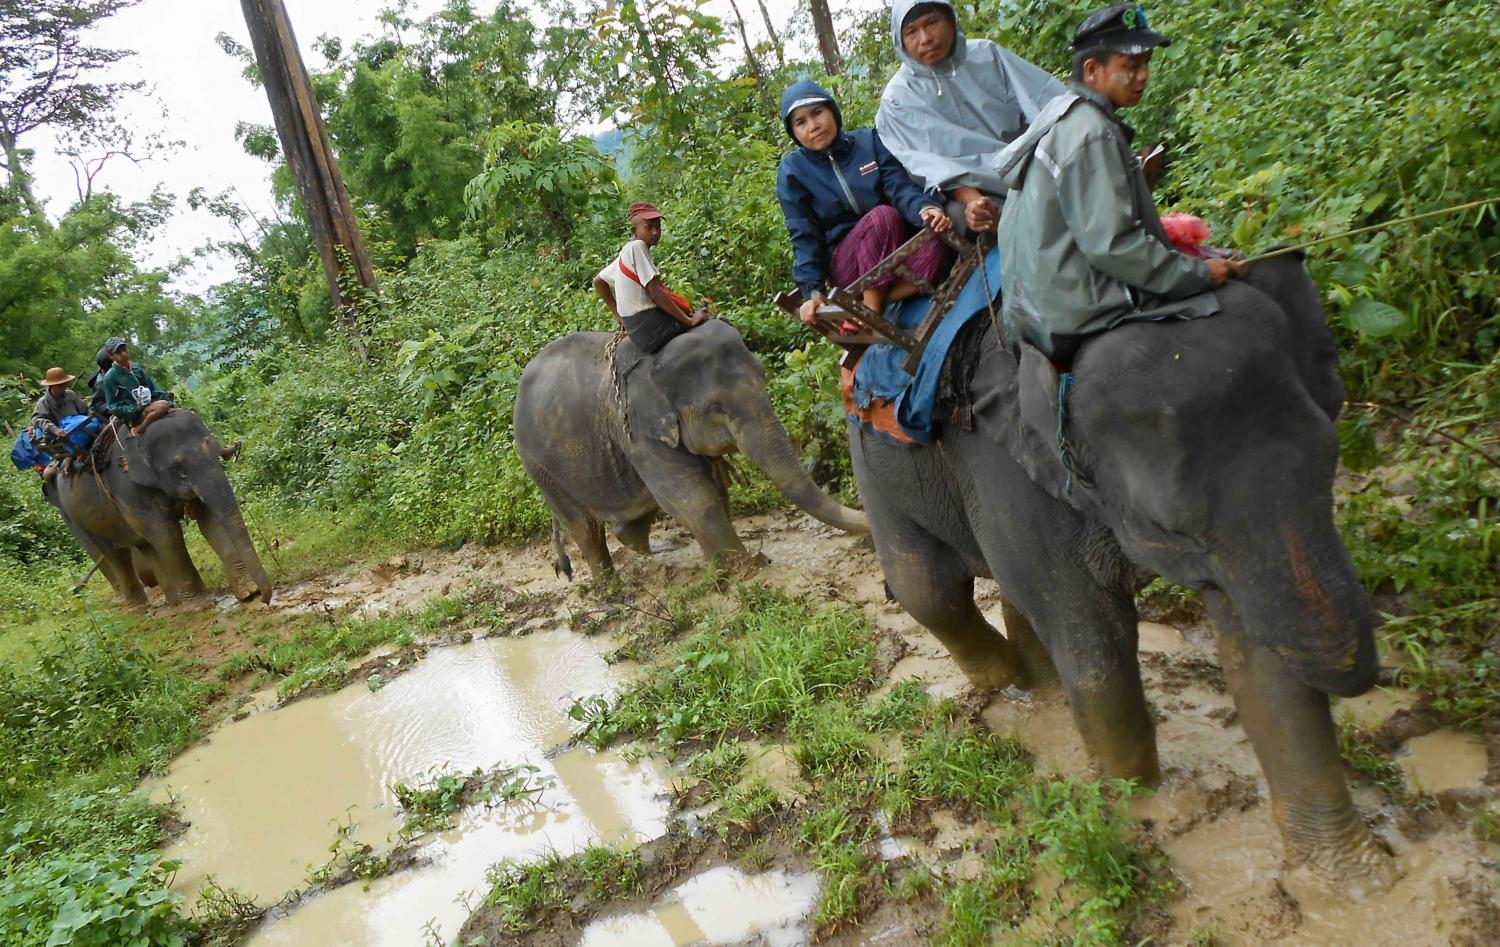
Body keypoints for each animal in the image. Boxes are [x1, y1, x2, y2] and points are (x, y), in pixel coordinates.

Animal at [54, 411, 271, 612]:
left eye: (218, 454)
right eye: (179, 470)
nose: (265, 600)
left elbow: (209, 522)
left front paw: (248, 593)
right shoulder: (129, 489)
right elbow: (168, 535)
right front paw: (200, 605)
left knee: (145, 545)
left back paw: (174, 603)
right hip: (81, 520)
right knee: (117, 556)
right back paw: (139, 610)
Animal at [516, 321, 870, 579]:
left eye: (763, 379)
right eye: (715, 408)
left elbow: (714, 489)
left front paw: (720, 565)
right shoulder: (637, 432)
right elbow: (689, 495)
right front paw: (745, 571)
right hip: (539, 466)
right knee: (582, 526)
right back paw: (609, 590)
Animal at [852, 253, 1398, 888]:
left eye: (1331, 459)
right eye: (1172, 526)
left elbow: (1255, 652)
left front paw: (1353, 883)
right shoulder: (1002, 468)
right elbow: (1097, 646)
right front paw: (1133, 806)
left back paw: (1038, 688)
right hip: (875, 465)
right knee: (930, 590)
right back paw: (1010, 684)